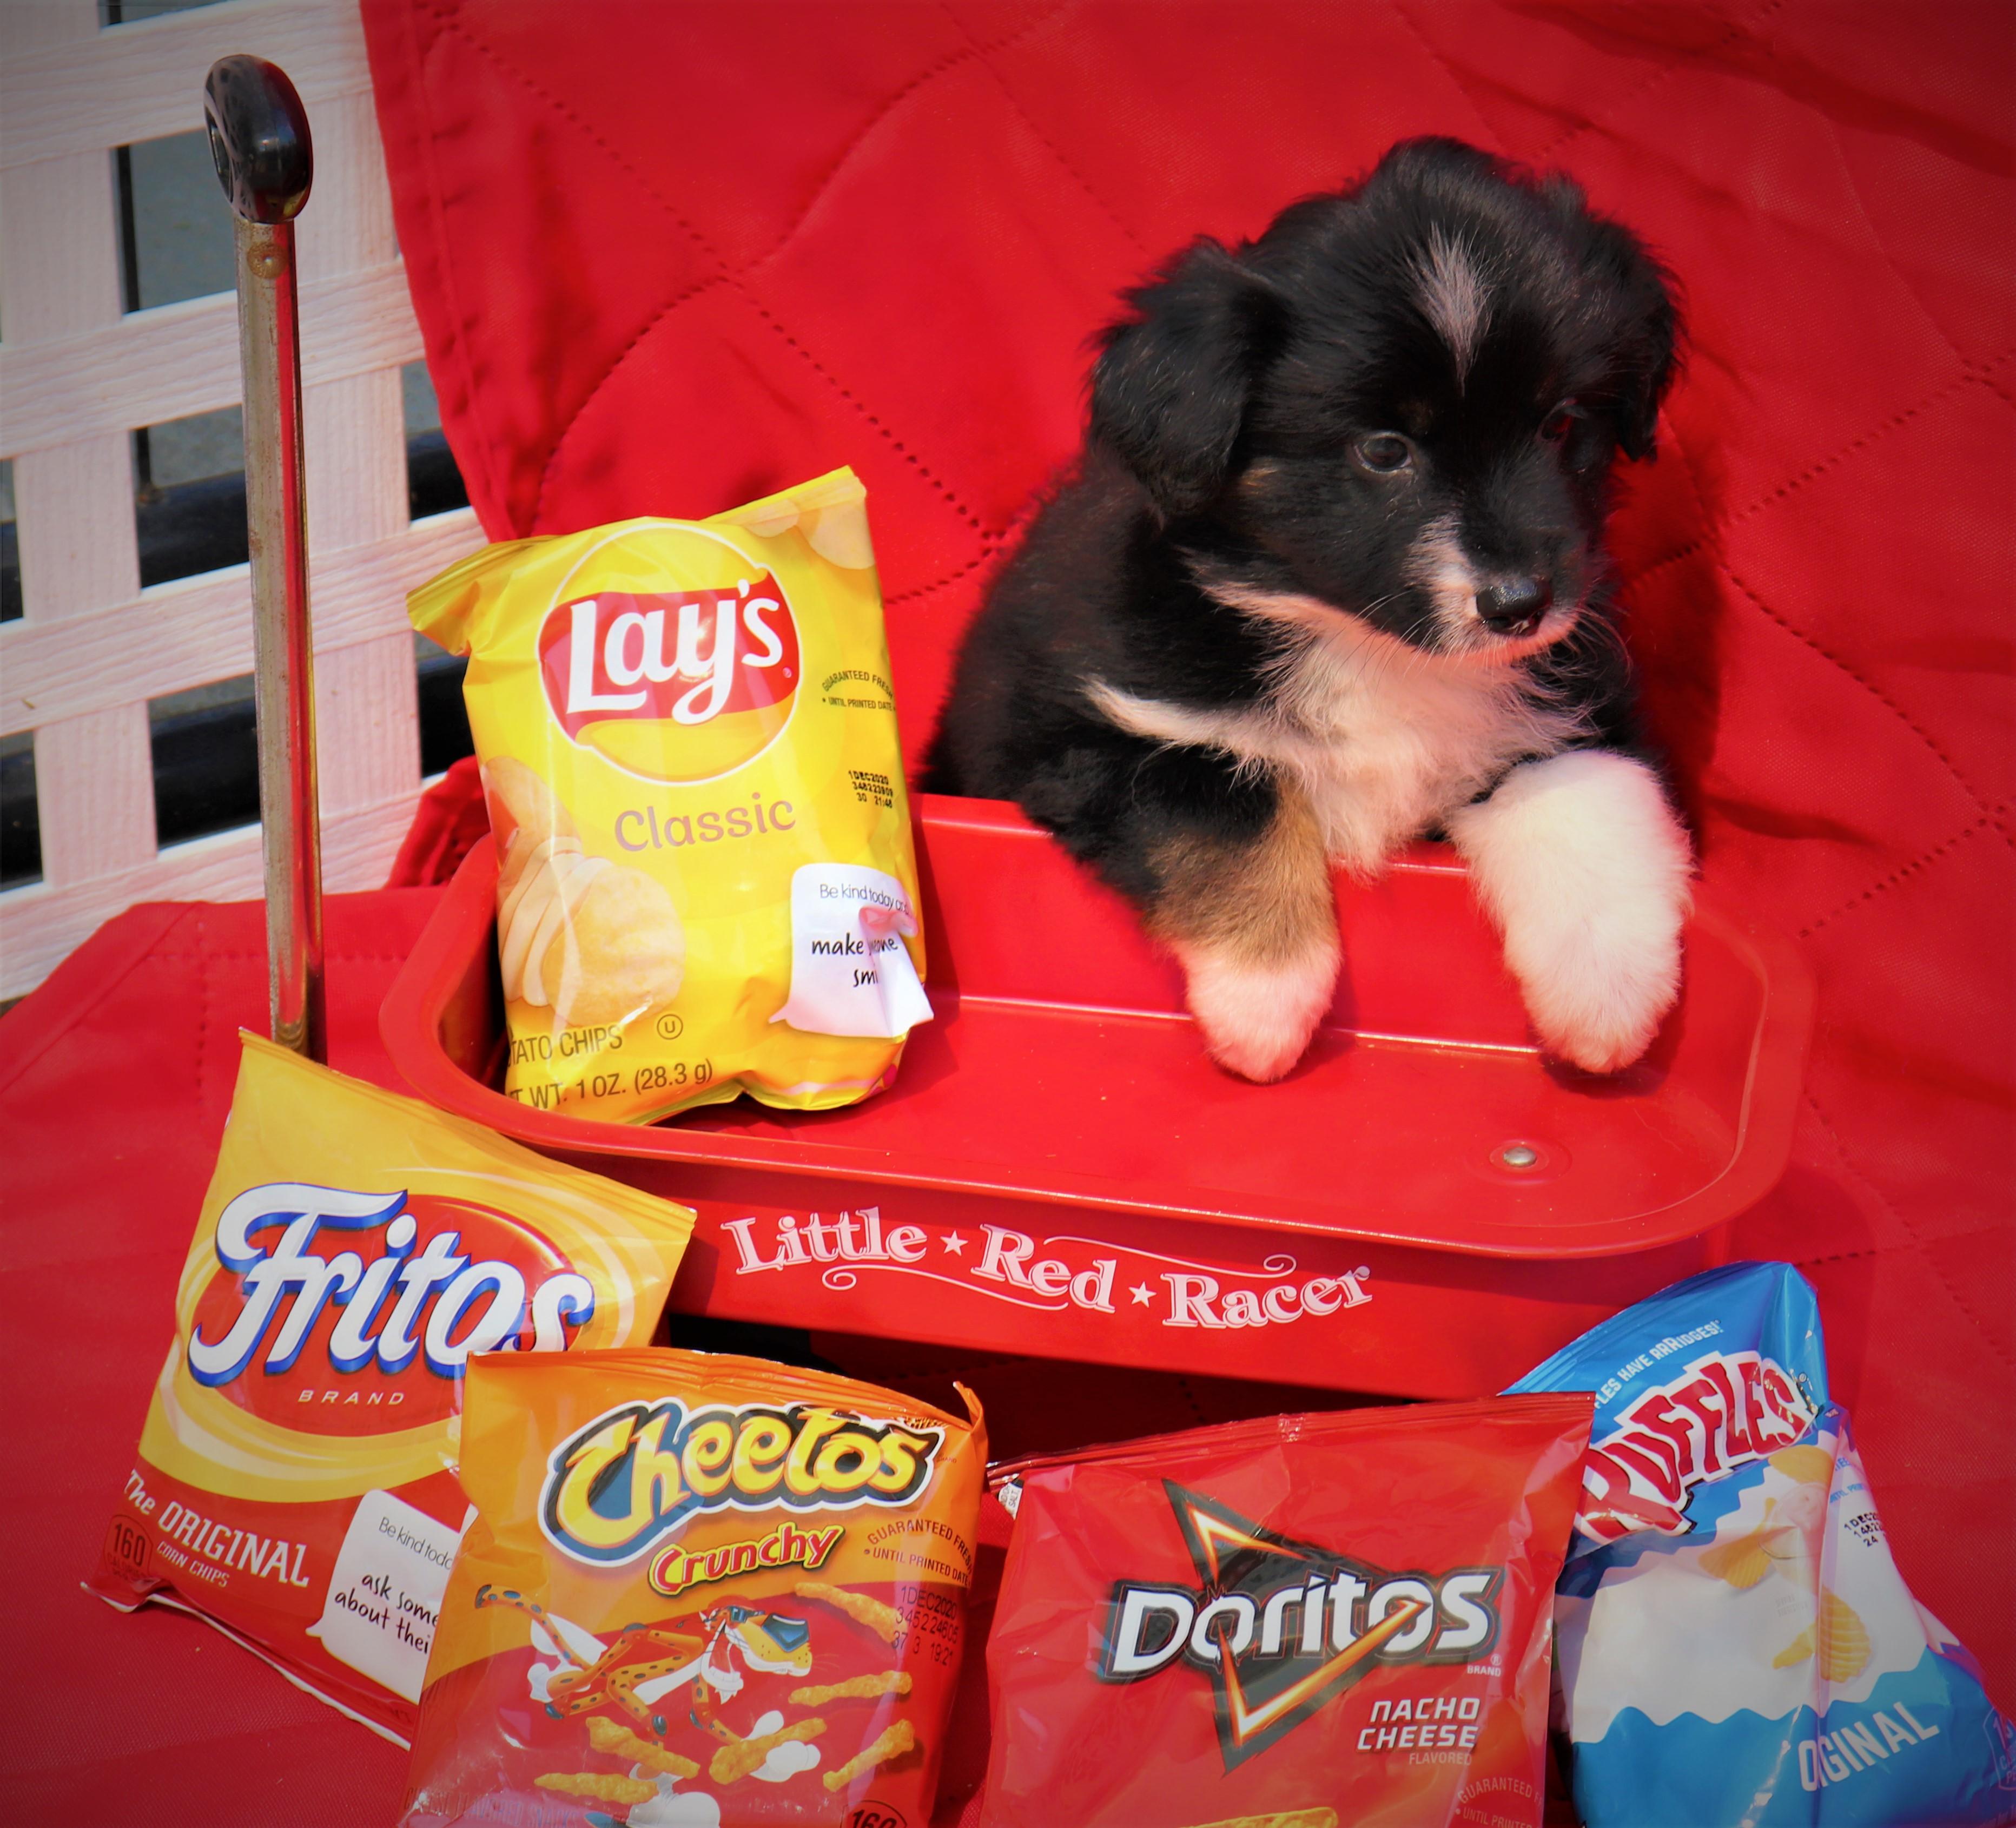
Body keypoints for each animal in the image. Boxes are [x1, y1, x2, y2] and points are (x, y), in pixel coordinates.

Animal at [922, 136, 1693, 1084]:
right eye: (1383, 451)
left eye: (1558, 424)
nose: (1520, 604)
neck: (1368, 647)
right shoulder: (1078, 731)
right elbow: (1226, 801)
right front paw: (1265, 1001)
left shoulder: (1586, 696)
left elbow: (1587, 786)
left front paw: (1607, 995)